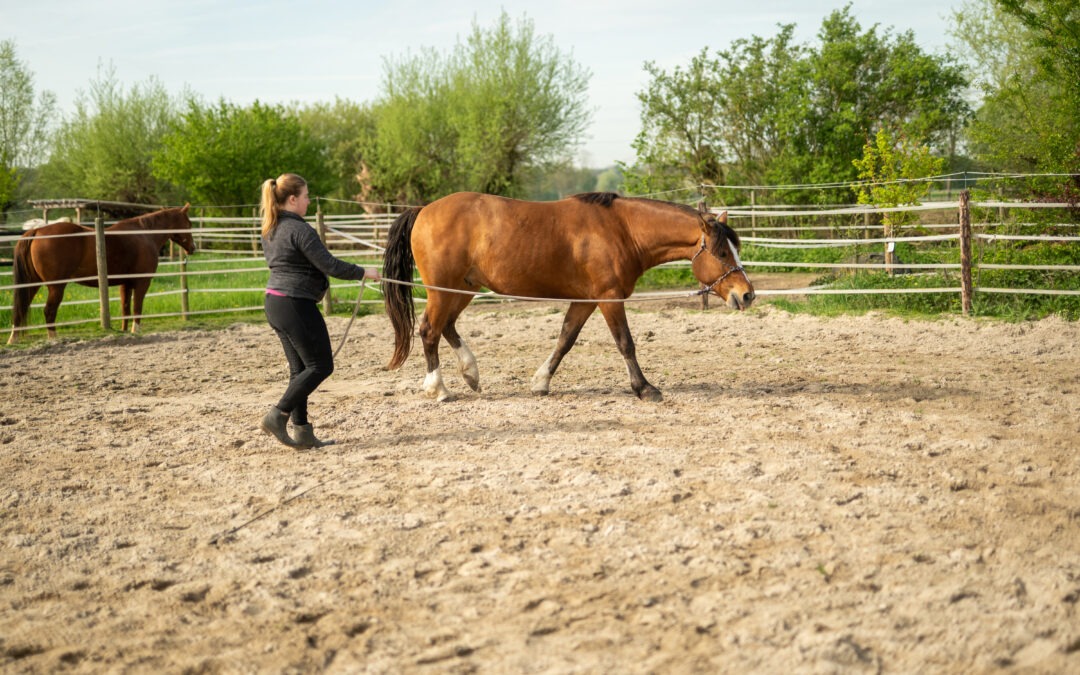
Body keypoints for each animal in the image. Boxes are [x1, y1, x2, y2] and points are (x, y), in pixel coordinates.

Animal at [7, 204, 197, 344]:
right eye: (188, 224)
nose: (193, 248)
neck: (144, 234)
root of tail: (36, 231)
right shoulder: (142, 282)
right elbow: (137, 308)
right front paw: (136, 331)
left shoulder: (125, 283)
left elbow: (125, 309)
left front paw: (125, 331)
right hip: (56, 287)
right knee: (49, 311)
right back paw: (53, 339)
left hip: (32, 284)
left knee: (21, 308)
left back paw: (13, 339)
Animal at [382, 191, 754, 402]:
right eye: (722, 252)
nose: (747, 294)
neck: (622, 230)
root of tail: (423, 210)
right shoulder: (609, 298)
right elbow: (626, 343)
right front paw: (645, 388)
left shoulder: (586, 300)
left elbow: (565, 339)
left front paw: (541, 383)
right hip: (443, 290)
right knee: (430, 330)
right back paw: (439, 389)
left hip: (464, 287)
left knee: (447, 326)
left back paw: (471, 374)